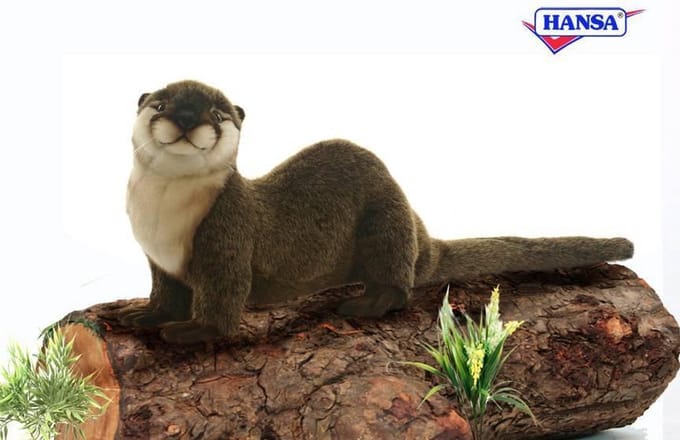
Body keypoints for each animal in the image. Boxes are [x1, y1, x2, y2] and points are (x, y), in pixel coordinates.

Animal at [119, 80, 634, 344]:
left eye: (218, 114)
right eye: (161, 104)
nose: (187, 118)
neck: (164, 218)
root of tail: (419, 236)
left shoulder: (226, 238)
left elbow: (222, 302)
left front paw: (191, 331)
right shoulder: (156, 258)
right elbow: (164, 293)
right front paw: (144, 316)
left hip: (385, 223)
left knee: (399, 286)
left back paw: (365, 303)